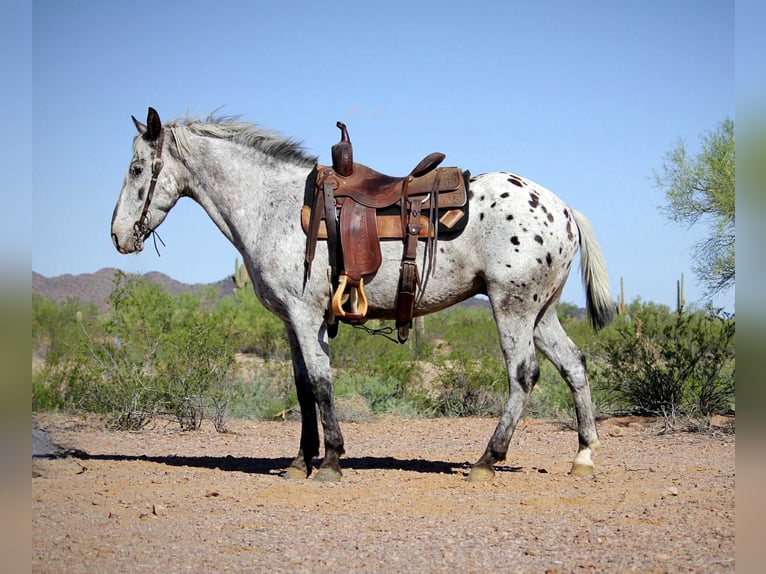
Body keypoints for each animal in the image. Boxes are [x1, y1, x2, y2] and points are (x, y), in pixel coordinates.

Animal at [111, 107, 614, 482]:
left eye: (136, 169)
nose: (118, 235)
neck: (272, 206)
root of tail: (564, 210)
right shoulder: (292, 321)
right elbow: (302, 388)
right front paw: (300, 461)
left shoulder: (306, 315)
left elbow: (320, 383)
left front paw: (331, 461)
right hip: (542, 313)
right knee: (573, 365)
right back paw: (584, 455)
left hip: (512, 306)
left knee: (523, 373)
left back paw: (487, 460)